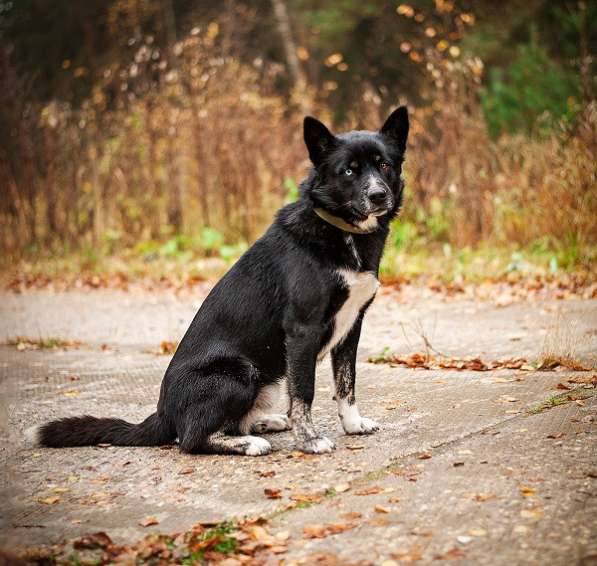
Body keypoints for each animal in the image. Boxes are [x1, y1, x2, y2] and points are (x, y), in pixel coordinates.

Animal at [31, 107, 406, 458]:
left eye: (384, 165)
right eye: (349, 170)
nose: (378, 195)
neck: (341, 230)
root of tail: (163, 413)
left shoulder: (351, 326)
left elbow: (346, 383)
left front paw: (353, 424)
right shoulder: (303, 330)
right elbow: (305, 393)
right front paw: (309, 441)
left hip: (264, 378)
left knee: (227, 424)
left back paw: (263, 423)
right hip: (240, 373)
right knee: (191, 439)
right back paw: (249, 443)